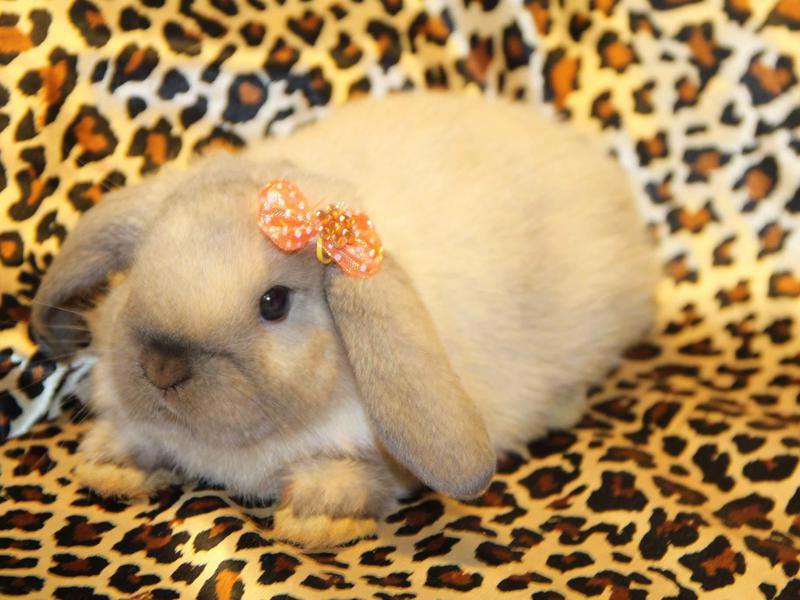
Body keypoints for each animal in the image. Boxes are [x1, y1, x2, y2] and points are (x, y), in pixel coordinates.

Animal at [31, 91, 659, 548]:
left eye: (274, 303)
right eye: (140, 270)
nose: (162, 367)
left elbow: (354, 480)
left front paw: (318, 518)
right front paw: (109, 465)